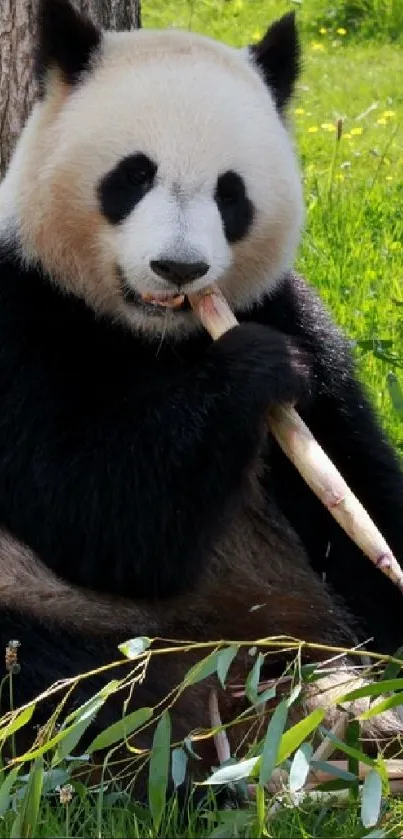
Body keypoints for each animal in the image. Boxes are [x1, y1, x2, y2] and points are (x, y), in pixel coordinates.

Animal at [0, 0, 403, 796]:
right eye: (132, 176)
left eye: (230, 191)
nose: (178, 268)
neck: (157, 336)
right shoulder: (17, 314)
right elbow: (98, 517)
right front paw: (252, 370)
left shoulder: (287, 310)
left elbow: (356, 495)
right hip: (59, 615)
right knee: (59, 687)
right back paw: (190, 752)